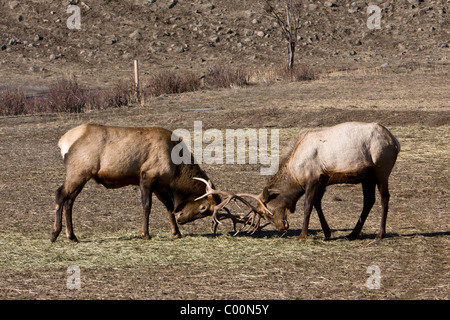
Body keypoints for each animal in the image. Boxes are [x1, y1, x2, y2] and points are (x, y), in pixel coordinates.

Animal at [52, 124, 229, 241]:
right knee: (60, 194)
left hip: (81, 176)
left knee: (69, 201)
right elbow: (147, 205)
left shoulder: (160, 186)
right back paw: (55, 233)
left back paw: (72, 236)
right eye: (203, 207)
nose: (182, 219)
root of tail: (62, 141)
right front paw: (146, 234)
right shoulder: (146, 177)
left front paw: (176, 232)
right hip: (78, 172)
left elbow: (169, 206)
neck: (175, 170)